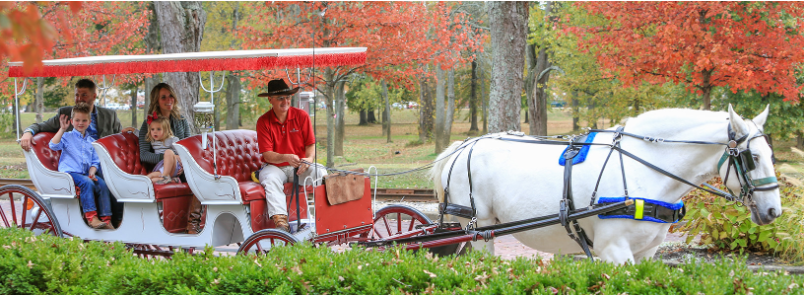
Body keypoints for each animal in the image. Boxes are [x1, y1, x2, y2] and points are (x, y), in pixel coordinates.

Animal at [430, 106, 784, 264]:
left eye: (771, 155)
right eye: (752, 157)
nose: (773, 211)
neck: (644, 169)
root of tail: (463, 146)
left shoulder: (646, 253)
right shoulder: (614, 250)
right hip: (479, 227)